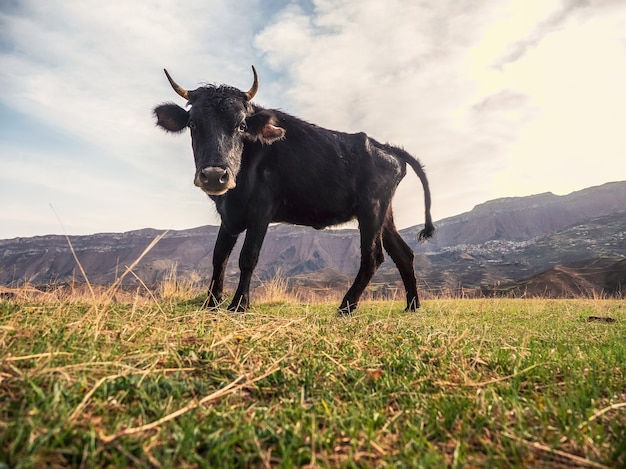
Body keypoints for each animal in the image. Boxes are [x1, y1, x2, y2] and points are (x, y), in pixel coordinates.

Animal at [154, 66, 432, 314]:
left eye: (241, 125)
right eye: (193, 124)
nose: (214, 175)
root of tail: (384, 146)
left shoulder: (261, 211)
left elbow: (248, 257)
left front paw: (239, 305)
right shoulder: (229, 216)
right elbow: (219, 257)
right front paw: (211, 304)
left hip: (371, 209)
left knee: (373, 256)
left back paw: (346, 306)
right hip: (384, 213)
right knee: (403, 254)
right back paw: (412, 306)